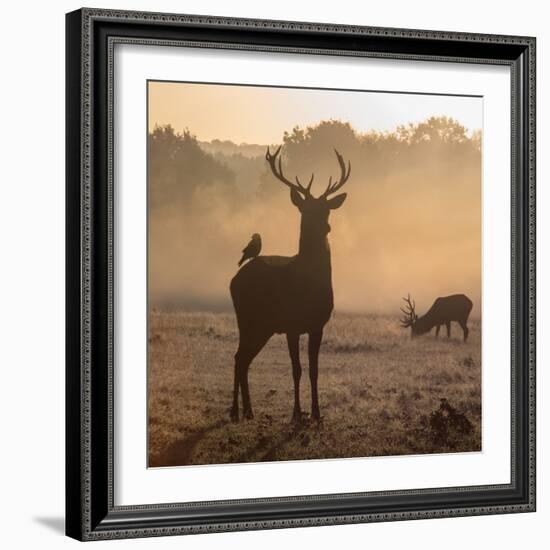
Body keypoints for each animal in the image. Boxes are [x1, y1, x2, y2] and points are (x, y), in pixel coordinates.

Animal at [230, 146, 352, 422]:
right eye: (305, 209)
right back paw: (235, 411)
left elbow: (314, 370)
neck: (308, 286)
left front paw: (317, 413)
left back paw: (248, 411)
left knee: (243, 359)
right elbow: (296, 369)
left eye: (327, 209)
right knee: (239, 357)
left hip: (262, 326)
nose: (325, 226)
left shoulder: (318, 325)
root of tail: (233, 280)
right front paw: (297, 413)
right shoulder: (292, 325)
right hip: (247, 318)